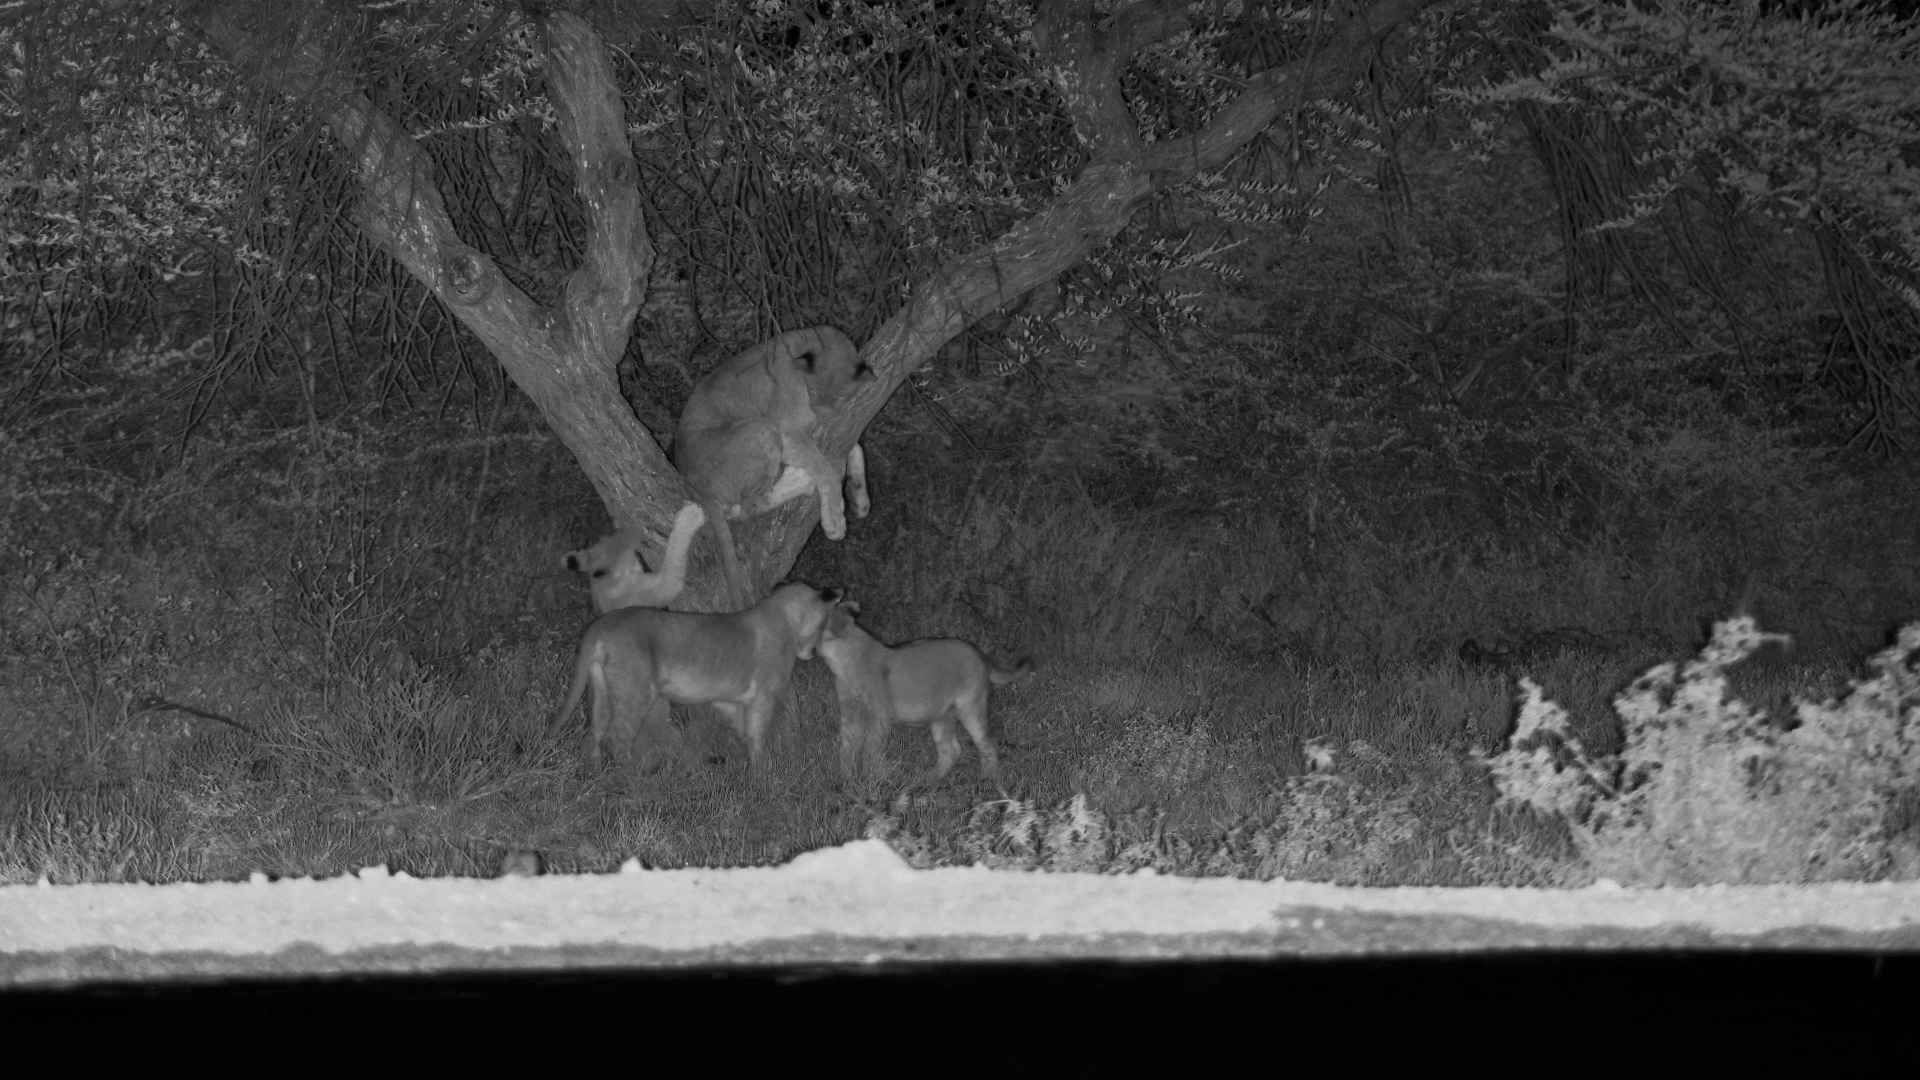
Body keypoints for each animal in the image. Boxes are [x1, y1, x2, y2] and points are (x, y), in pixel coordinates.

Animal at [547, 581, 844, 774]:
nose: (819, 650)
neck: (785, 619)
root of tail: (601, 624)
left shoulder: (731, 701)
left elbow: (747, 735)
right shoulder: (763, 698)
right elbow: (759, 738)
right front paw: (767, 779)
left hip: (602, 691)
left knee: (592, 736)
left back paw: (595, 783)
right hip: (636, 691)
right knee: (615, 738)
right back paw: (637, 783)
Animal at [672, 326, 873, 607]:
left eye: (841, 397)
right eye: (812, 393)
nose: (823, 418)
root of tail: (691, 481)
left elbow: (854, 447)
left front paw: (860, 498)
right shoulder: (788, 434)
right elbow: (827, 469)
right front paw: (835, 519)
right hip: (762, 428)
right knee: (745, 508)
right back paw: (801, 481)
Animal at [814, 600, 1033, 794]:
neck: (841, 662)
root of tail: (983, 658)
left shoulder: (880, 714)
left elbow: (870, 749)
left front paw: (871, 781)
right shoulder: (849, 713)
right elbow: (847, 748)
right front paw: (847, 782)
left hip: (971, 708)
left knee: (988, 744)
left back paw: (987, 783)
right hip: (941, 718)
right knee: (951, 750)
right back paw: (923, 782)